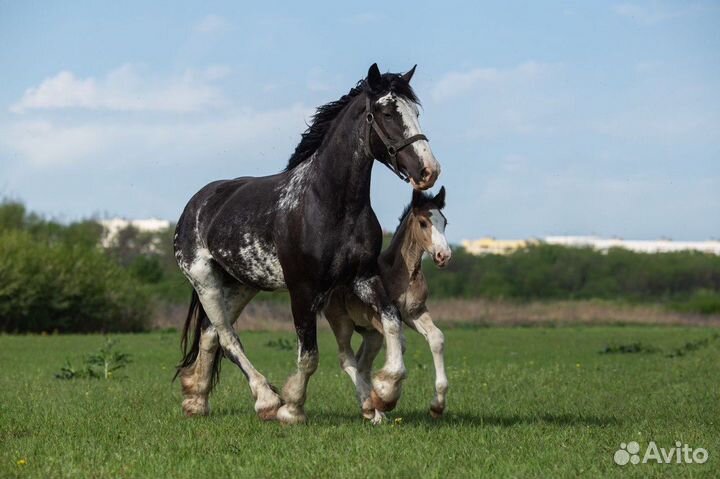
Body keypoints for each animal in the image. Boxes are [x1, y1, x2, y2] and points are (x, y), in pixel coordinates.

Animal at [326, 188, 450, 424]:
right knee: (346, 359)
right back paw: (372, 408)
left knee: (362, 364)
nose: (443, 255)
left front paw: (437, 405)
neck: (403, 274)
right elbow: (401, 343)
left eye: (445, 222)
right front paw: (386, 394)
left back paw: (376, 411)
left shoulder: (414, 312)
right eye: (423, 222)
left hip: (370, 334)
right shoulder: (382, 314)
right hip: (342, 323)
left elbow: (437, 338)